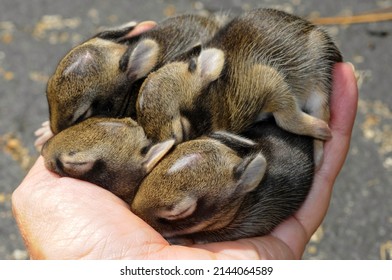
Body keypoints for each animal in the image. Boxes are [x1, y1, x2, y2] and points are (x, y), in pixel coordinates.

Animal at [136, 8, 342, 164]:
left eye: (183, 130)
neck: (222, 91)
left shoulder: (268, 82)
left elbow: (285, 117)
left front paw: (323, 130)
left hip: (319, 74)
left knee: (322, 109)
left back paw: (320, 148)